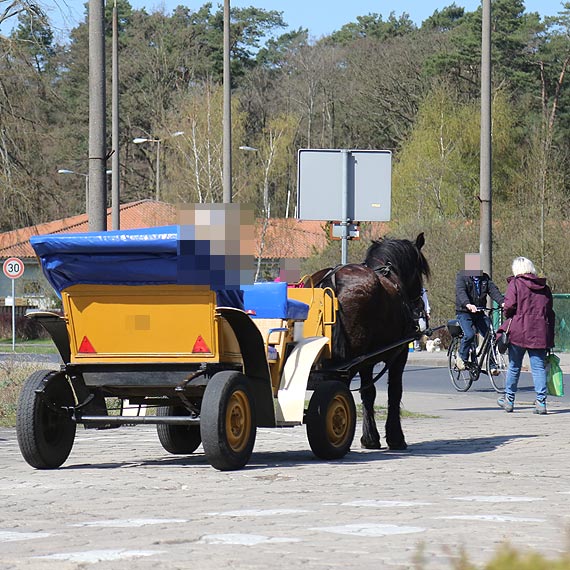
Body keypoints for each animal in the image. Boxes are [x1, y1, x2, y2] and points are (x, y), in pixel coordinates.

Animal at [310, 231, 426, 448]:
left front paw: (370, 437)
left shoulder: (367, 360)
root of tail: (333, 279)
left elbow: (368, 393)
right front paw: (394, 437)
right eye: (421, 269)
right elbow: (394, 392)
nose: (420, 306)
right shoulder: (398, 355)